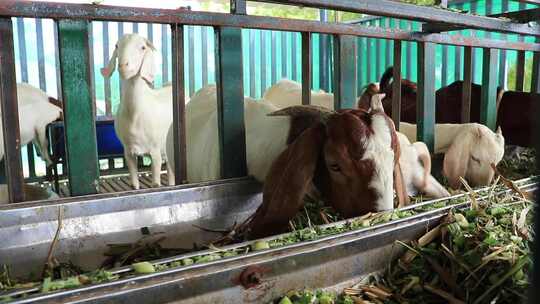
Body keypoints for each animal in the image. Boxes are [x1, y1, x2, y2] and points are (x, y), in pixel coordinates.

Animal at [102, 33, 174, 190]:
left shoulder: (155, 151)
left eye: (143, 47)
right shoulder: (128, 152)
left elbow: (156, 184)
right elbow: (134, 185)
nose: (123, 66)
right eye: (117, 46)